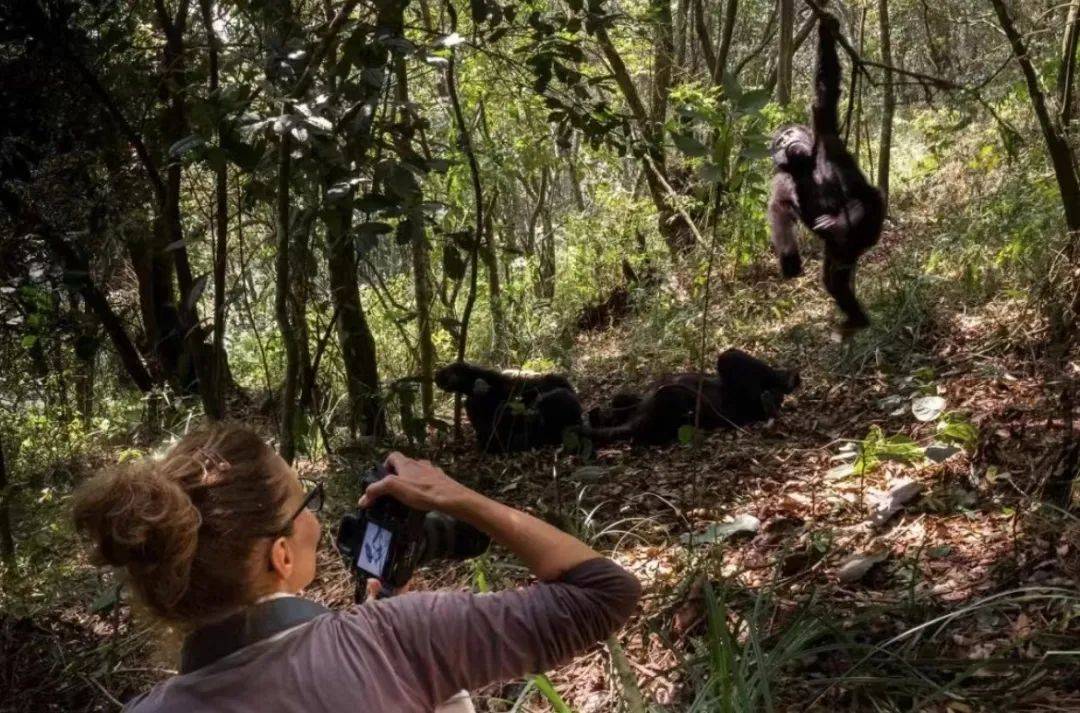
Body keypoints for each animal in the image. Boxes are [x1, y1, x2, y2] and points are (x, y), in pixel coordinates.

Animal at [764, 13, 881, 330]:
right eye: (779, 142)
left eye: (790, 133)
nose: (787, 141)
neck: (806, 162)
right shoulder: (782, 177)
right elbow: (779, 206)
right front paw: (789, 260)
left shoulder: (824, 128)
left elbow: (824, 92)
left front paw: (826, 27)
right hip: (838, 255)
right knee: (833, 280)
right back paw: (856, 318)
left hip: (871, 227)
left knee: (867, 201)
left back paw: (841, 221)